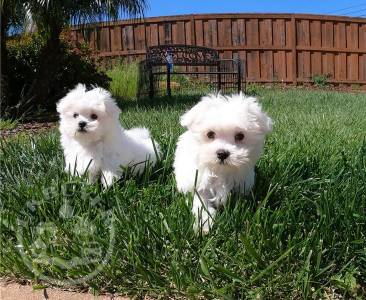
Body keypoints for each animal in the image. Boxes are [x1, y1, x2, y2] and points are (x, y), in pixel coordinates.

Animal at [174, 92, 272, 233]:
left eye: (240, 136)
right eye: (210, 134)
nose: (222, 153)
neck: (221, 171)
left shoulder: (241, 184)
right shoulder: (200, 184)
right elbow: (201, 204)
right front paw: (204, 224)